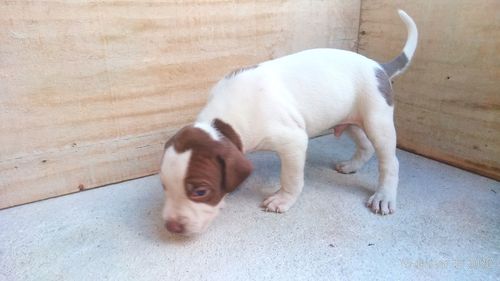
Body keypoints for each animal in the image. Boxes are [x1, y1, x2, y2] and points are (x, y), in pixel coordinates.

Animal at [160, 9, 418, 234]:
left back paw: (384, 197)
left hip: (377, 121)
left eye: (200, 192)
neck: (223, 122)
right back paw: (351, 165)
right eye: (164, 186)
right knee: (365, 146)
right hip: (350, 119)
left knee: (390, 162)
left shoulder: (293, 141)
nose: (172, 227)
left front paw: (283, 200)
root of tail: (378, 66)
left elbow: (291, 178)